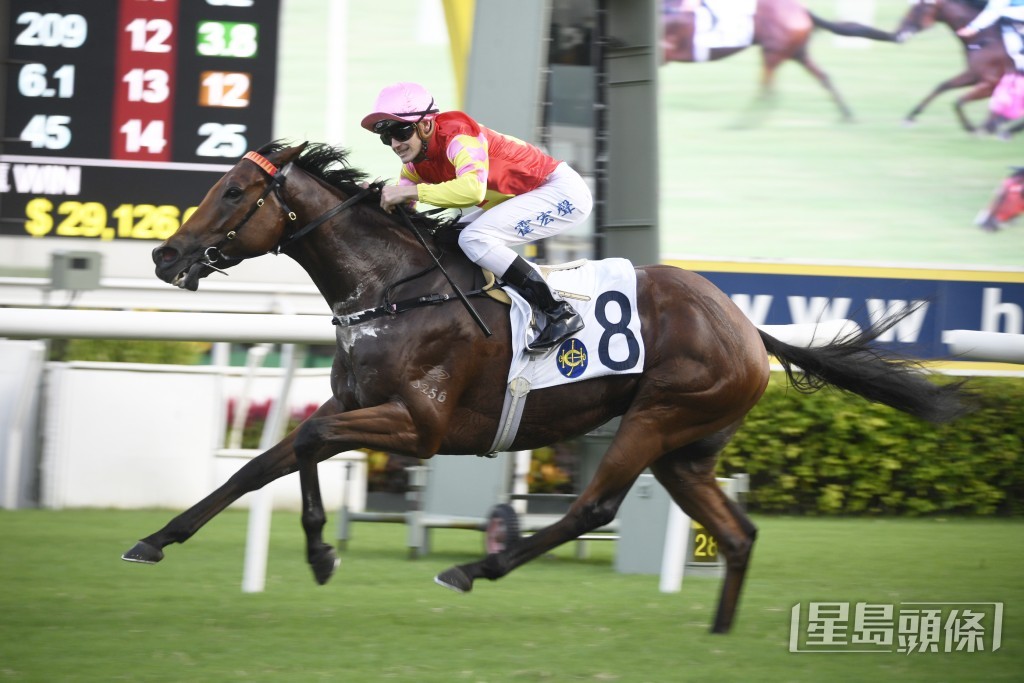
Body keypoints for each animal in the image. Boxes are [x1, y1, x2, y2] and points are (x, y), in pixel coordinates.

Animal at [126, 141, 973, 634]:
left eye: (233, 193)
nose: (165, 255)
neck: (393, 287)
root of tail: (745, 325)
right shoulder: (355, 401)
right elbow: (263, 462)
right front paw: (159, 539)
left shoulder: (418, 425)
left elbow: (305, 439)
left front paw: (318, 550)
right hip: (686, 451)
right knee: (736, 534)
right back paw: (718, 635)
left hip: (657, 417)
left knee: (593, 506)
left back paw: (473, 568)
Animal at [661, 0, 897, 120]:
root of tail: (802, 9)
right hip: (797, 53)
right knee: (822, 77)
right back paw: (846, 115)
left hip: (773, 52)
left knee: (766, 88)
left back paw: (744, 121)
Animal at [893, 0, 1013, 132]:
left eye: (919, 9)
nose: (899, 32)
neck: (985, 38)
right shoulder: (974, 76)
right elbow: (942, 86)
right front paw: (910, 116)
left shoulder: (993, 82)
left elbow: (959, 101)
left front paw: (972, 127)